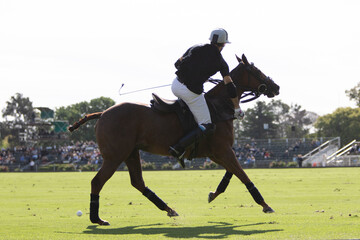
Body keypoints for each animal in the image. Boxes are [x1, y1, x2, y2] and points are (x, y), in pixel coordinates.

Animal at [69, 54, 280, 225]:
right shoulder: (222, 150)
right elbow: (243, 175)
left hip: (130, 153)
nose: (275, 87)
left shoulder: (217, 153)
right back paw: (97, 219)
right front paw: (265, 204)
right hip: (115, 156)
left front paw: (213, 194)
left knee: (138, 182)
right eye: (256, 70)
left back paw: (169, 209)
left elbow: (232, 173)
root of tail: (103, 113)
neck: (220, 107)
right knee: (97, 181)